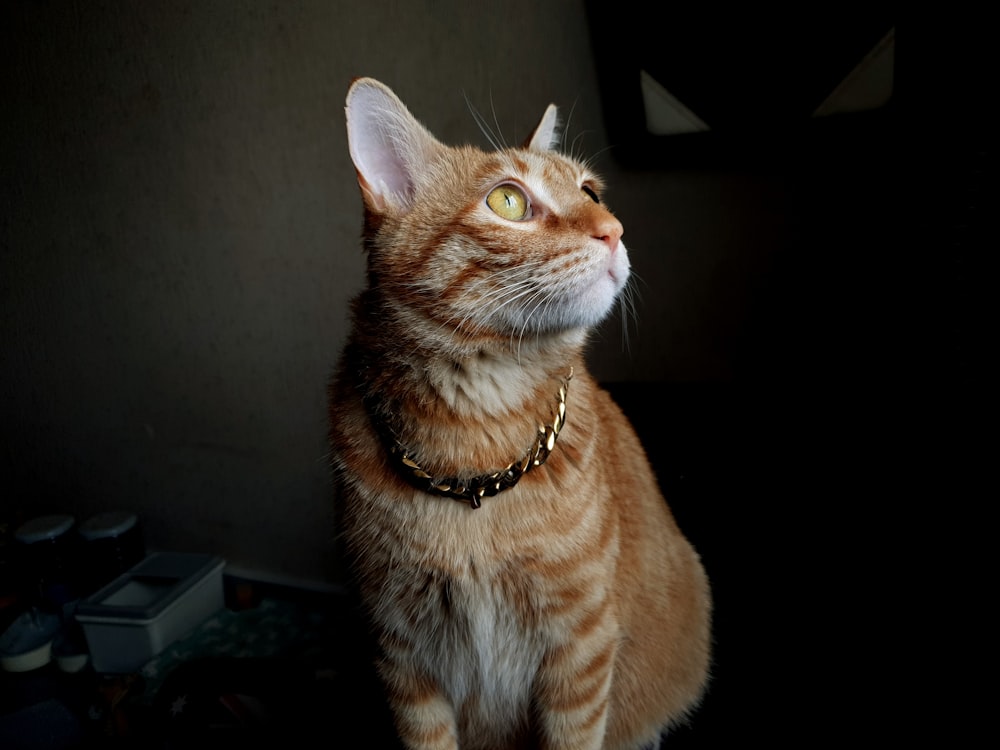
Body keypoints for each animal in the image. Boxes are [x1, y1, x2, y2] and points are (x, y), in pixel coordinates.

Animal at [328, 79, 712, 748]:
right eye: (507, 200)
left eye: (590, 192)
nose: (614, 230)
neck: (474, 443)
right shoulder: (402, 658)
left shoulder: (579, 655)